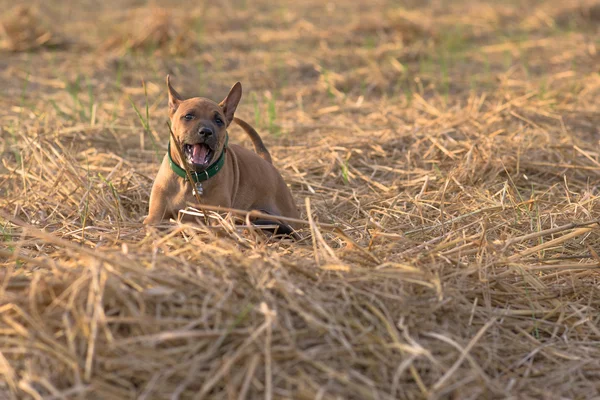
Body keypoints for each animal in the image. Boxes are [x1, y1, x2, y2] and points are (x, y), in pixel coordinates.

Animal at [141, 75, 300, 234]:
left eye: (218, 121)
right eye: (189, 116)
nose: (206, 131)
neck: (193, 179)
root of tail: (267, 162)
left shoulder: (218, 218)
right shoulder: (153, 218)